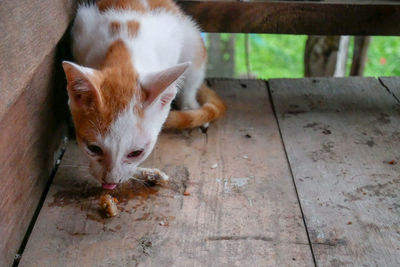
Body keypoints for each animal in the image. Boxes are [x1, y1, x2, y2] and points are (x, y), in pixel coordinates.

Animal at [62, 0, 225, 189]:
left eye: (136, 153)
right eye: (93, 148)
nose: (110, 183)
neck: (123, 49)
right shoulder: (81, 32)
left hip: (191, 37)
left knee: (193, 71)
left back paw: (189, 105)